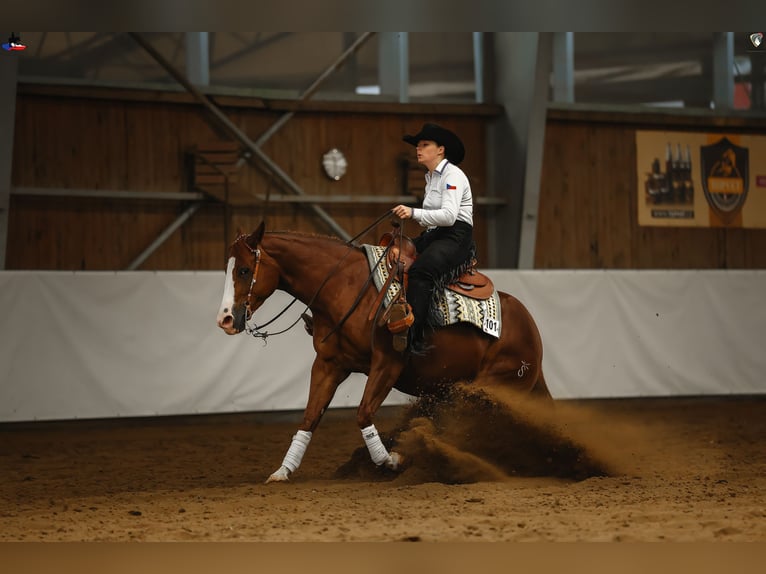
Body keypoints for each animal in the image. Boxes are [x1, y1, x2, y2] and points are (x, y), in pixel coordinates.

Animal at [216, 221, 552, 483]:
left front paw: (392, 460)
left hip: (490, 388)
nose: (225, 319)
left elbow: (364, 413)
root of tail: (531, 330)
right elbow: (310, 417)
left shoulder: (387, 363)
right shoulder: (329, 364)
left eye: (244, 270)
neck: (345, 287)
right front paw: (283, 471)